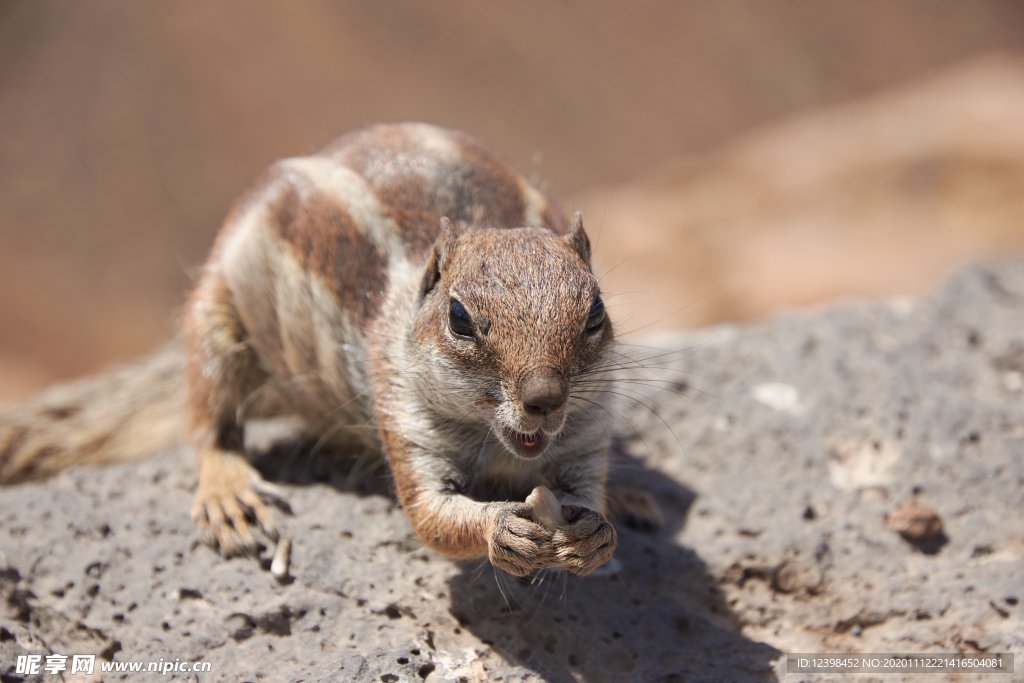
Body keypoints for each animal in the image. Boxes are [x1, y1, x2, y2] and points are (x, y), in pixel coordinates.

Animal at [0, 121, 659, 577]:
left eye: (596, 313)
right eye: (460, 319)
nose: (544, 398)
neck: (503, 451)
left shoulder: (587, 432)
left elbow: (584, 491)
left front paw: (596, 533)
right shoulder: (403, 411)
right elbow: (431, 516)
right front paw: (501, 528)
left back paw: (632, 499)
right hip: (218, 311)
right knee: (210, 413)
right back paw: (229, 492)